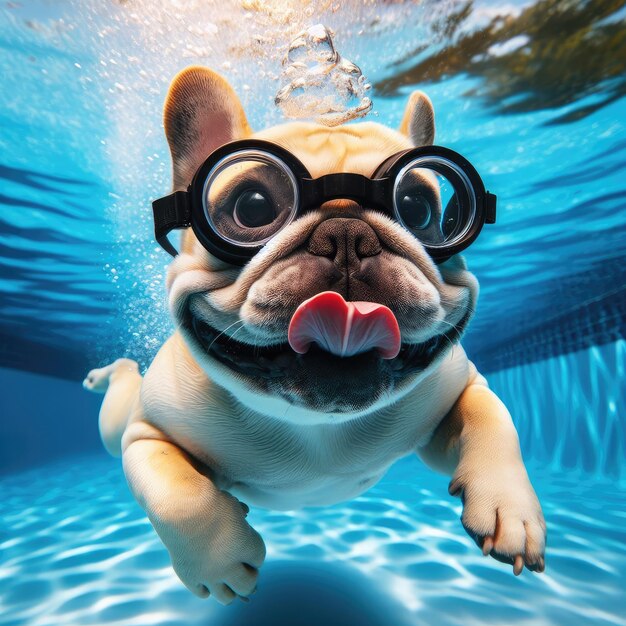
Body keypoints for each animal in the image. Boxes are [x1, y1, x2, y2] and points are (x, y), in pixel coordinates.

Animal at [83, 66, 540, 604]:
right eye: (253, 207)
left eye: (419, 209)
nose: (346, 234)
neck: (316, 426)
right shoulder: (146, 431)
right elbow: (175, 494)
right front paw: (219, 562)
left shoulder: (457, 391)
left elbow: (496, 420)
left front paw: (512, 508)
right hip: (114, 425)